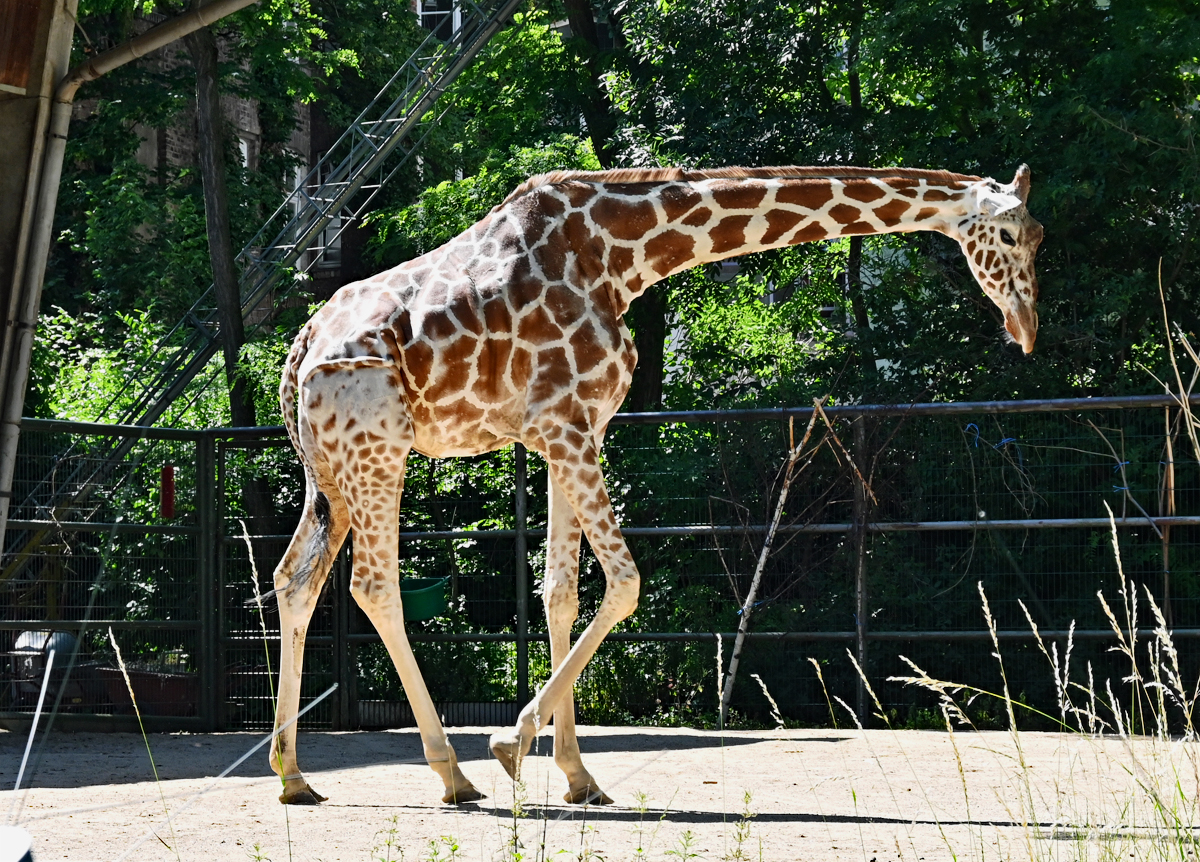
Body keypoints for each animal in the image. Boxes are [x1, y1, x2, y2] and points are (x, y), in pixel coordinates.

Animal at [265, 165, 1041, 806]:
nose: (1026, 327)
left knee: (293, 579)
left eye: (1036, 238)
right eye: (1010, 234)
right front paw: (511, 744)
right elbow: (627, 583)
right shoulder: (566, 425)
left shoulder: (568, 430)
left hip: (329, 473)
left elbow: (560, 591)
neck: (621, 256)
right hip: (380, 451)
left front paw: (578, 774)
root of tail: (299, 350)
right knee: (373, 586)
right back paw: (452, 774)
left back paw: (294, 774)